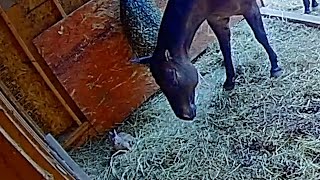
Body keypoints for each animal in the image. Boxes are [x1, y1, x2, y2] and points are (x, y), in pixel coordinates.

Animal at [132, 0, 282, 121]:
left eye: (173, 77)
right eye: (159, 83)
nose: (184, 116)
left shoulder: (249, 7)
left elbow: (260, 36)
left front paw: (275, 68)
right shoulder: (217, 20)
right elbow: (225, 48)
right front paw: (229, 81)